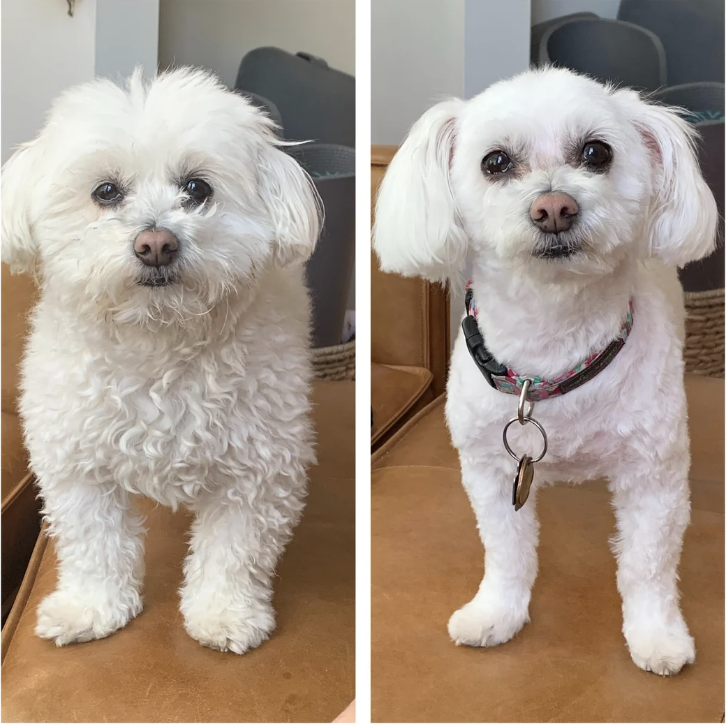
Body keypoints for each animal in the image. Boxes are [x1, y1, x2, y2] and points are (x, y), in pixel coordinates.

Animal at [2, 69, 322, 656]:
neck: (157, 341)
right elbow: (94, 543)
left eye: (196, 189)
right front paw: (91, 608)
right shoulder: (77, 468)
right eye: (106, 192)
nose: (156, 243)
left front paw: (224, 615)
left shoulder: (257, 471)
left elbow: (233, 552)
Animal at [376, 66, 724, 672]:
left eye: (597, 152)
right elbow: (506, 551)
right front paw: (496, 613)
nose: (555, 207)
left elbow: (648, 564)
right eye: (494, 162)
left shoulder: (653, 475)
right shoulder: (492, 473)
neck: (553, 348)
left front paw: (656, 635)